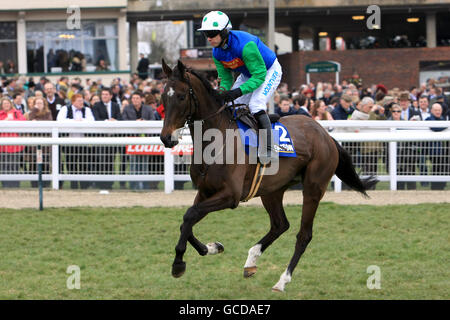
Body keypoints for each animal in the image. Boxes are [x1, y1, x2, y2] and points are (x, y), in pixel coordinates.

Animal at [160, 60, 378, 292]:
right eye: (163, 97)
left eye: (181, 96)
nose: (166, 138)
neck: (217, 139)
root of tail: (325, 134)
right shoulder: (205, 191)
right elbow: (187, 220)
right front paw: (212, 247)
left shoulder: (230, 196)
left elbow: (190, 215)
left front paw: (178, 263)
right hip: (271, 189)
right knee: (280, 224)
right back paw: (251, 260)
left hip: (313, 188)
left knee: (304, 234)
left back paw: (282, 280)